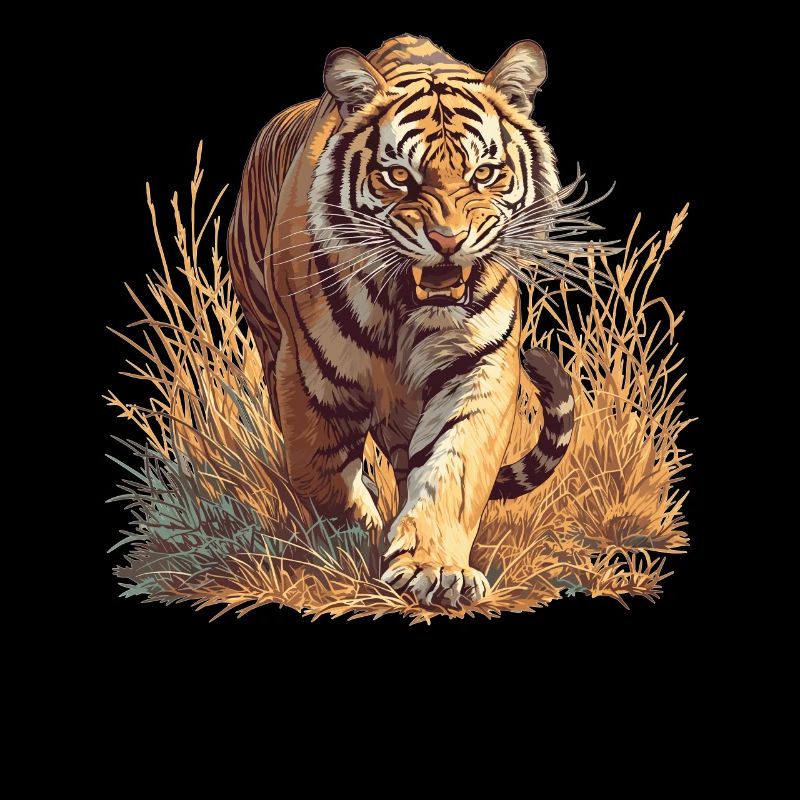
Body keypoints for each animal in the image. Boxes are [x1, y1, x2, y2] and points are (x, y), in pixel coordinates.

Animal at [228, 34, 605, 608]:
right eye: (399, 176)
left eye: (483, 174)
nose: (448, 241)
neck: (406, 309)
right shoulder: (308, 376)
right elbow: (320, 473)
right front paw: (351, 540)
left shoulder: (480, 365)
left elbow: (454, 466)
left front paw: (435, 568)